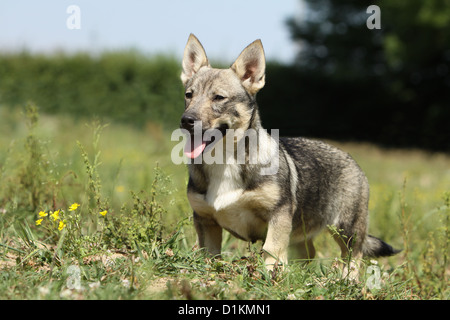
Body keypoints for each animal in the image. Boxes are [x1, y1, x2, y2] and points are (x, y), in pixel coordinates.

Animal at [178, 33, 398, 276]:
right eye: (189, 95)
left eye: (218, 97)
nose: (186, 120)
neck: (225, 161)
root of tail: (352, 160)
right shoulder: (206, 221)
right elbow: (209, 254)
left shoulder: (279, 215)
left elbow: (271, 249)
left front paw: (269, 275)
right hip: (303, 233)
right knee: (309, 254)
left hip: (347, 229)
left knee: (354, 257)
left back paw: (347, 280)